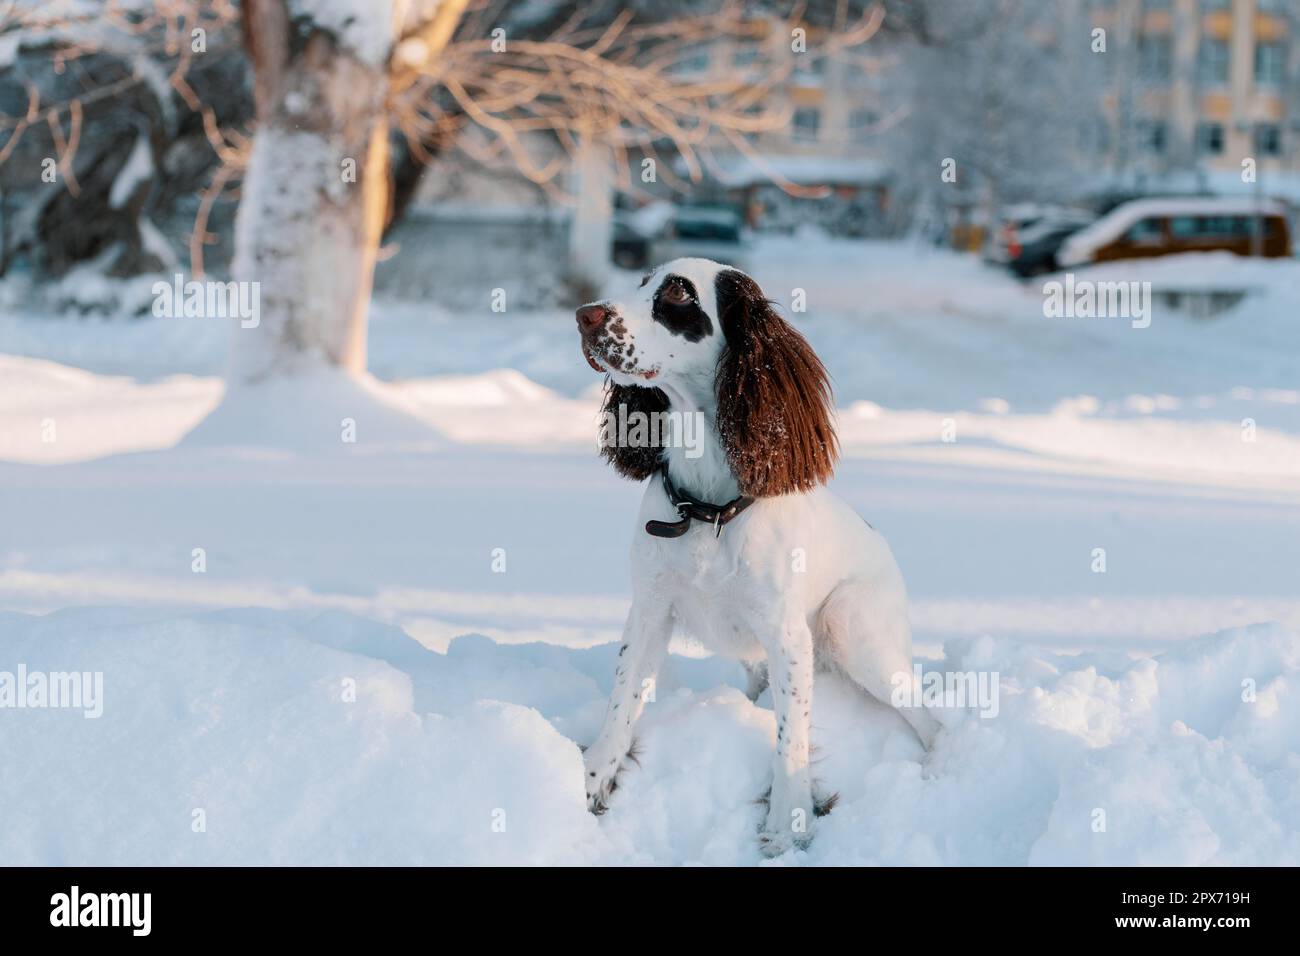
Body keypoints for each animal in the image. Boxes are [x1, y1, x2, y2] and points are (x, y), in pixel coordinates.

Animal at [577, 257, 935, 858]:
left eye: (678, 293)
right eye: (641, 281)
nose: (584, 315)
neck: (707, 511)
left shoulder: (788, 637)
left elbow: (791, 737)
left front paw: (787, 823)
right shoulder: (649, 608)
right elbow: (622, 698)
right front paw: (589, 782)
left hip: (852, 627)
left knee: (933, 719)